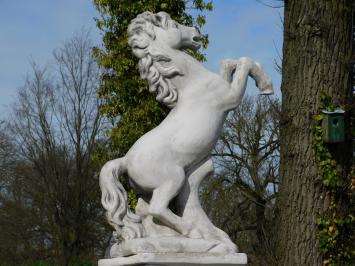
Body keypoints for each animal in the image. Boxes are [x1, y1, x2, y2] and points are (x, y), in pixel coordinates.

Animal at [100, 9, 276, 251]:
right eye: (174, 25)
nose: (196, 32)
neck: (193, 83)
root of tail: (125, 160)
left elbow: (229, 62)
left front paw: (264, 83)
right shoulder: (231, 98)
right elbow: (244, 63)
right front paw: (266, 86)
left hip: (153, 189)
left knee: (146, 212)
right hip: (172, 178)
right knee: (157, 208)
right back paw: (191, 233)